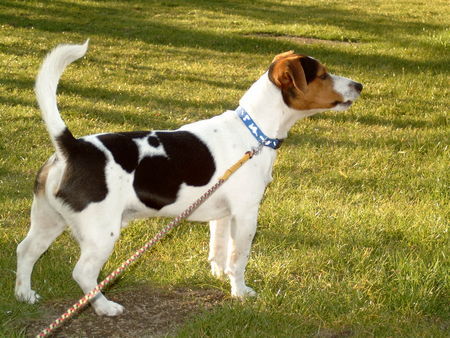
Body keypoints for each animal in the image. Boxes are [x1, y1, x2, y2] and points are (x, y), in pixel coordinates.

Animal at [15, 41, 364, 316]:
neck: (254, 131)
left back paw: (24, 294)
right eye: (322, 75)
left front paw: (219, 276)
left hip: (49, 222)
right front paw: (240, 292)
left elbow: (219, 251)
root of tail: (72, 147)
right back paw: (104, 306)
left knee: (26, 251)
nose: (360, 85)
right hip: (102, 233)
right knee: (83, 273)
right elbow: (239, 257)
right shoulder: (246, 214)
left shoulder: (222, 216)